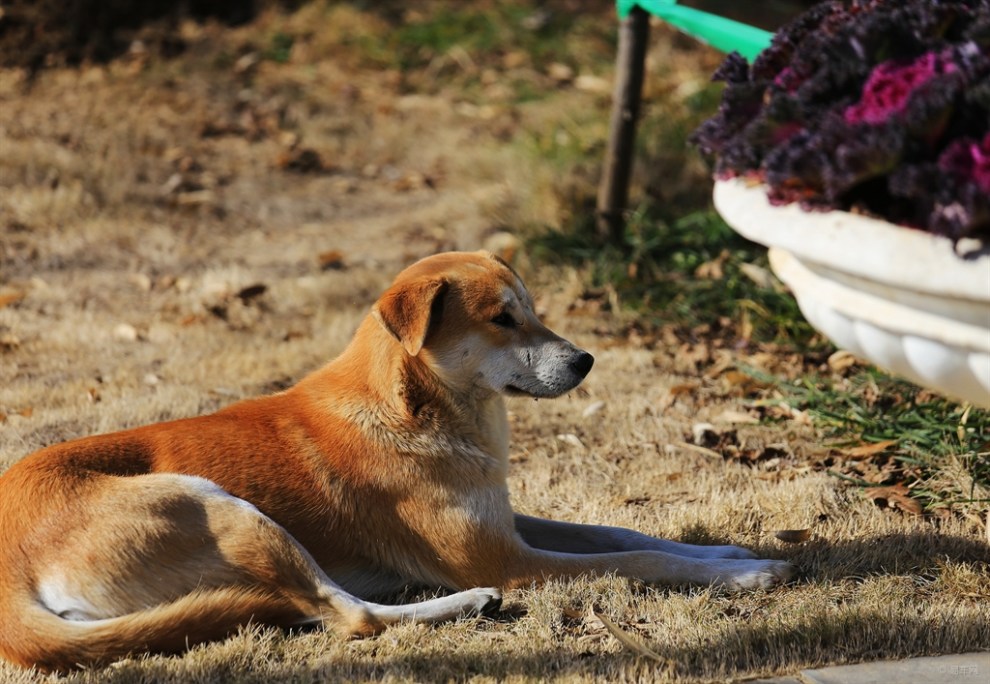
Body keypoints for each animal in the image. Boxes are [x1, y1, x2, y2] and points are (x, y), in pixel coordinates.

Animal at [0, 250, 796, 668]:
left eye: (534, 312)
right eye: (502, 319)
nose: (586, 361)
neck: (420, 408)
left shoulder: (505, 522)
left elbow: (626, 533)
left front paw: (725, 552)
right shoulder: (504, 556)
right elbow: (636, 560)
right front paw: (749, 575)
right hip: (216, 505)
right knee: (349, 616)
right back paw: (464, 605)